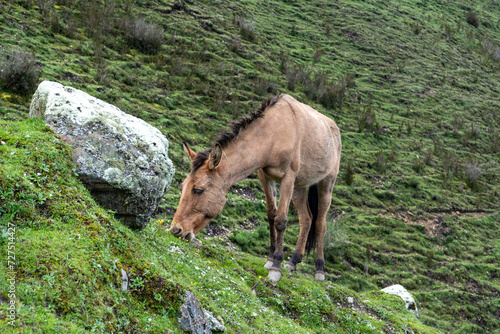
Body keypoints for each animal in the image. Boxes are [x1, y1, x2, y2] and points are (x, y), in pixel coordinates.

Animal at [171, 94, 340, 282]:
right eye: (183, 186)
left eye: (199, 190)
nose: (176, 230)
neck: (274, 133)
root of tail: (334, 129)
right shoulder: (265, 175)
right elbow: (271, 215)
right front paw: (271, 258)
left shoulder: (288, 177)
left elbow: (281, 220)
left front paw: (276, 266)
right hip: (299, 187)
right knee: (306, 219)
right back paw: (293, 261)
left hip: (326, 183)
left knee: (320, 224)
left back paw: (319, 269)